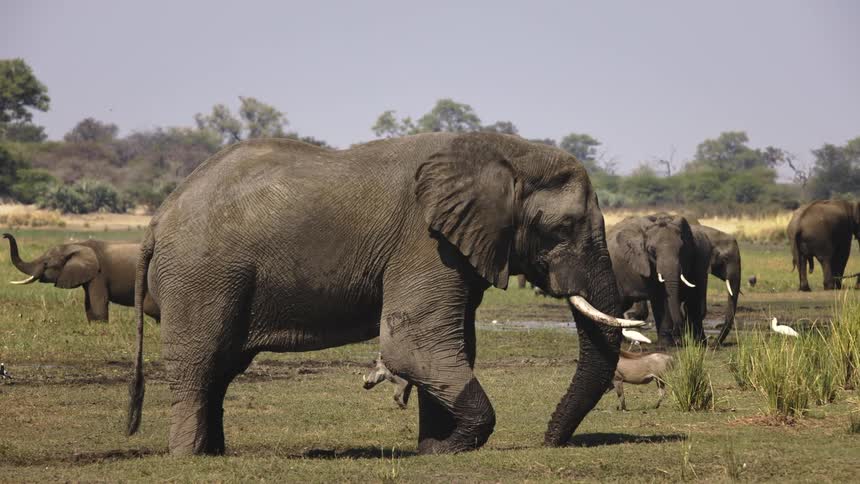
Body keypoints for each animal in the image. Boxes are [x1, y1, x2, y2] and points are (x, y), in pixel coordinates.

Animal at [3, 233, 160, 322]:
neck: (76, 245)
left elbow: (98, 304)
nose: (4, 236)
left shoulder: (99, 274)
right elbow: (88, 305)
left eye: (46, 263)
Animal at [125, 132, 641, 456]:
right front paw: (452, 445)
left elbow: (450, 346)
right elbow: (415, 347)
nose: (550, 440)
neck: (505, 152)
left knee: (221, 368)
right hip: (201, 276)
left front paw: (435, 451)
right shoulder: (425, 242)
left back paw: (214, 454)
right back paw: (189, 457)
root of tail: (159, 215)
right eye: (563, 228)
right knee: (201, 363)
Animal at [607, 214, 710, 346]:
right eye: (651, 250)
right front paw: (667, 345)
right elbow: (660, 297)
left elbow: (692, 297)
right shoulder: (646, 263)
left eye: (681, 249)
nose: (679, 337)